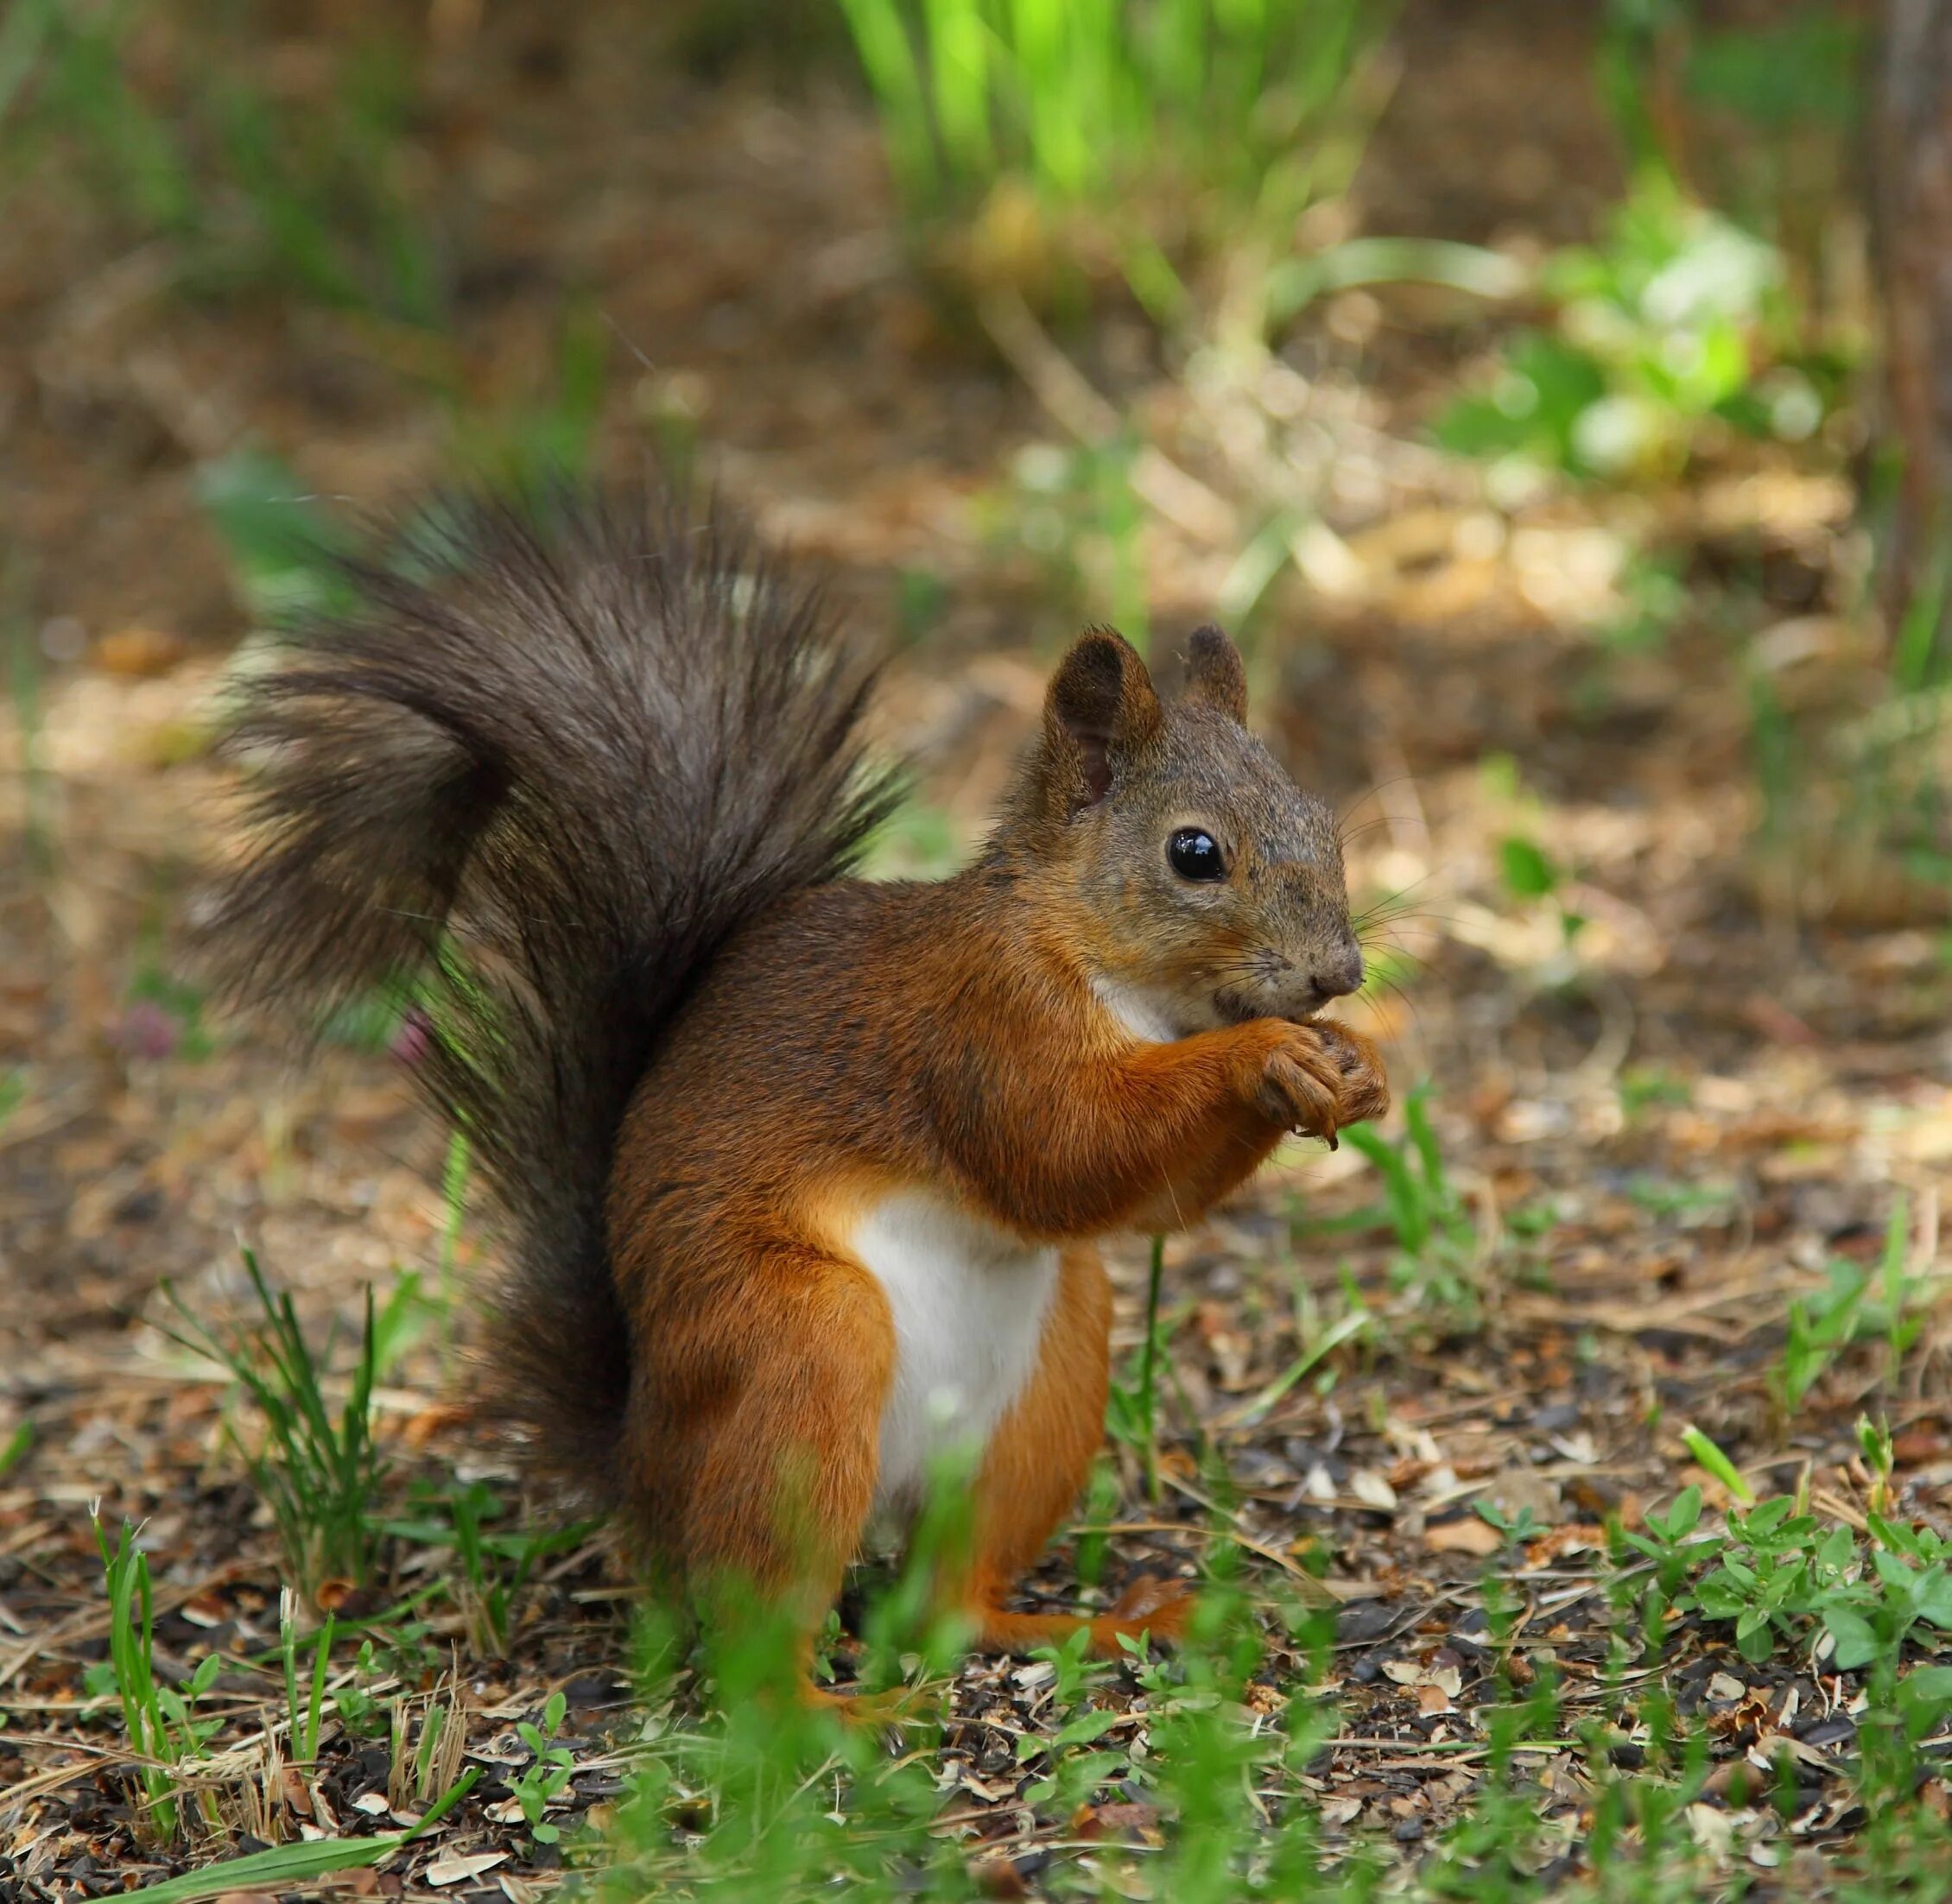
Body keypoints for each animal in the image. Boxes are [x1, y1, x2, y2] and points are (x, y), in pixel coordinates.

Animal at [209, 484, 1390, 1685]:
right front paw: (1265, 1057)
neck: (1113, 975)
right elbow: (1060, 1152)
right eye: (1195, 854)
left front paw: (1353, 1065)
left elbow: (1149, 1200)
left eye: (1322, 820)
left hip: (1048, 1378)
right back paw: (840, 1708)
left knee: (950, 1602)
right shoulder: (975, 1026)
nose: (1336, 975)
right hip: (792, 1349)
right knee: (753, 1651)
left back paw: (1097, 1625)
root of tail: (639, 1469)